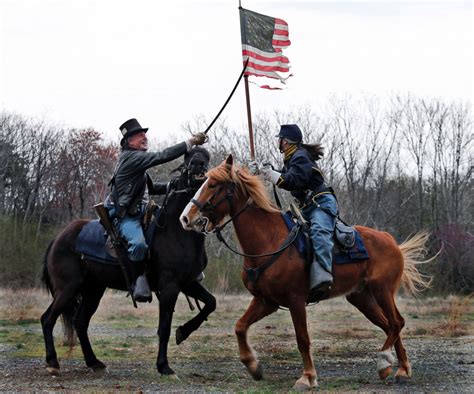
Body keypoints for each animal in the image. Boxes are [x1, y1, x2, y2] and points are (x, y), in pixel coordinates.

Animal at [41, 147, 216, 376]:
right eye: (187, 158)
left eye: (206, 156)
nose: (197, 164)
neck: (176, 230)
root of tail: (58, 239)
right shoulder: (170, 287)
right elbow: (165, 328)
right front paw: (164, 366)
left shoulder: (187, 283)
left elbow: (211, 303)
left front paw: (184, 332)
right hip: (68, 288)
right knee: (48, 319)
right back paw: (53, 362)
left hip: (93, 290)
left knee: (80, 323)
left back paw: (93, 362)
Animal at [181, 155, 434, 390]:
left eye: (213, 184)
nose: (186, 218)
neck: (270, 241)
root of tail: (391, 241)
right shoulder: (266, 300)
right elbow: (240, 327)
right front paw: (253, 366)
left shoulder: (295, 300)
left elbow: (302, 339)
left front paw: (307, 377)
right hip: (362, 297)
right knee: (389, 325)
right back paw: (400, 369)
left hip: (383, 290)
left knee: (397, 322)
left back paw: (386, 364)